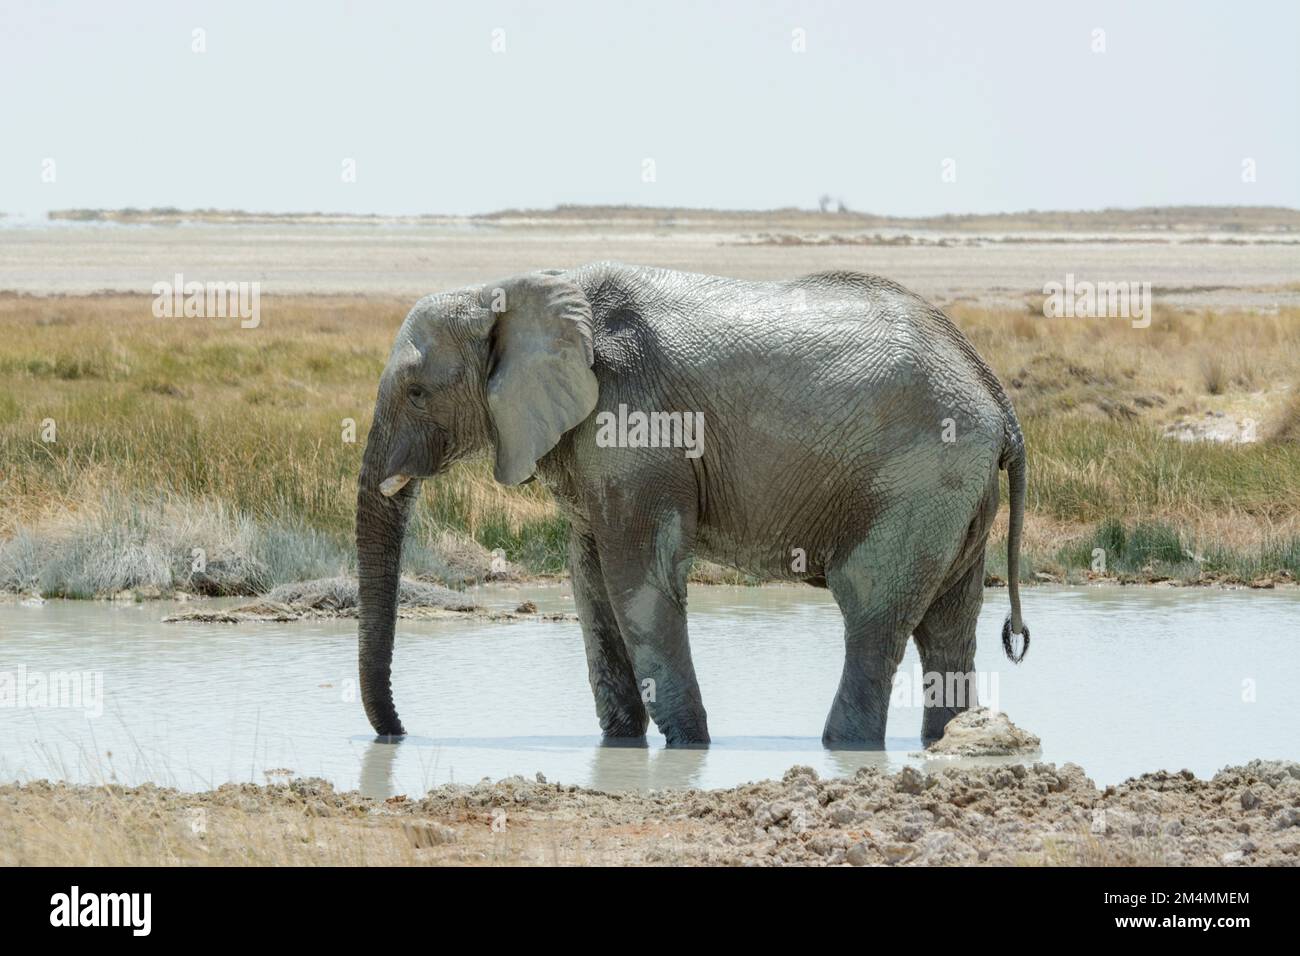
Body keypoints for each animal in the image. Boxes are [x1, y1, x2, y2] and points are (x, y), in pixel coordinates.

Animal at [353, 260, 1024, 749]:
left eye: (417, 393)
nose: (398, 734)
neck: (513, 288)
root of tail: (996, 394)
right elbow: (591, 585)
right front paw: (623, 748)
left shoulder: (636, 427)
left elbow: (638, 582)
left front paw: (689, 747)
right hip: (956, 490)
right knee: (948, 624)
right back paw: (948, 743)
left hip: (919, 476)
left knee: (871, 611)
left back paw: (845, 748)